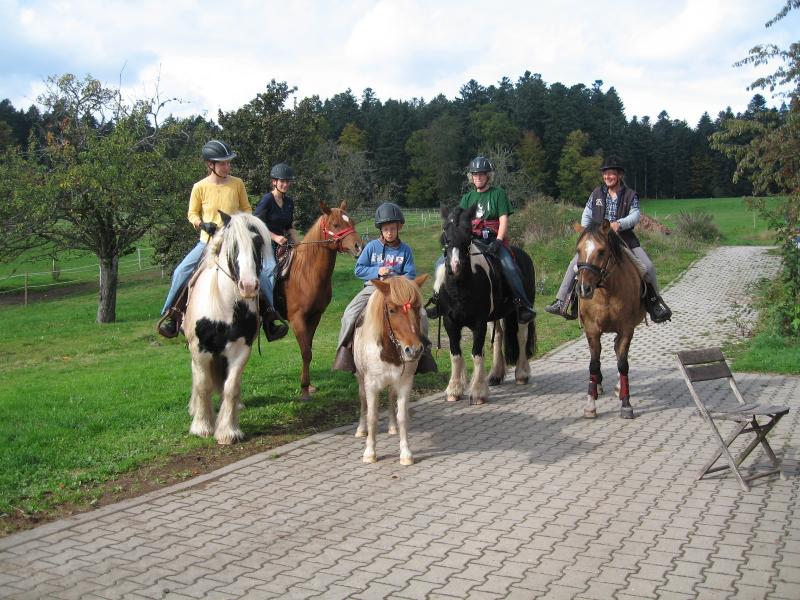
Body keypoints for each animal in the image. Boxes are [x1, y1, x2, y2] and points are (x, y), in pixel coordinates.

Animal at [183, 212, 270, 445]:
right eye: (233, 244)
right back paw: (195, 408)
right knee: (196, 377)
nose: (248, 286)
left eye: (257, 241)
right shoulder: (200, 350)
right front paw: (202, 426)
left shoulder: (241, 349)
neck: (223, 306)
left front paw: (228, 431)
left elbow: (231, 387)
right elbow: (203, 384)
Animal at [277, 201, 364, 400]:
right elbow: (305, 352)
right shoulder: (297, 319)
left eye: (352, 222)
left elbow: (308, 350)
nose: (359, 246)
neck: (305, 272)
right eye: (336, 224)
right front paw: (304, 390)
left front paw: (308, 387)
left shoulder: (315, 316)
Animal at [354, 274, 429, 465]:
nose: (414, 350)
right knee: (363, 400)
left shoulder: (405, 382)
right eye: (392, 310)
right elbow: (372, 416)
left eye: (417, 308)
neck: (388, 351)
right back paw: (361, 429)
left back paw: (392, 427)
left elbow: (403, 416)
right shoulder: (371, 384)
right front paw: (370, 452)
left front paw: (406, 453)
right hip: (360, 377)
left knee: (390, 398)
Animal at [434, 205, 536, 405]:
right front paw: (454, 390)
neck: (460, 287)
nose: (455, 265)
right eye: (444, 229)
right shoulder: (451, 322)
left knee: (521, 336)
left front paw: (478, 392)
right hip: (495, 316)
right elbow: (455, 354)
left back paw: (521, 374)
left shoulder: (478, 323)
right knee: (498, 336)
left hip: (520, 313)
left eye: (468, 230)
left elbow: (477, 354)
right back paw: (495, 375)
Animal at [575, 219, 646, 419]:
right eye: (578, 250)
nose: (583, 289)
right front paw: (590, 405)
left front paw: (626, 403)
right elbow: (593, 364)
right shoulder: (591, 329)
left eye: (601, 251)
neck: (607, 291)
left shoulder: (626, 329)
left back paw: (618, 387)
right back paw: (598, 386)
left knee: (617, 351)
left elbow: (623, 364)